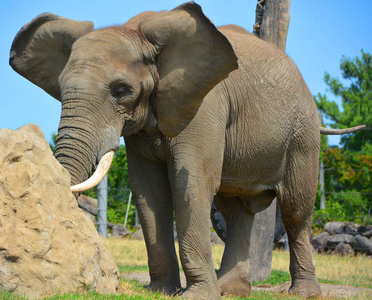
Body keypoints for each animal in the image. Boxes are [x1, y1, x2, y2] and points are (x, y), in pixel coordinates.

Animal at [10, 1, 364, 298]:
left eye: (120, 90)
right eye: (61, 88)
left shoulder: (205, 105)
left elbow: (189, 183)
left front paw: (197, 296)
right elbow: (149, 191)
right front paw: (161, 292)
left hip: (302, 132)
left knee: (294, 210)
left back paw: (302, 293)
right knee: (236, 210)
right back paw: (231, 290)